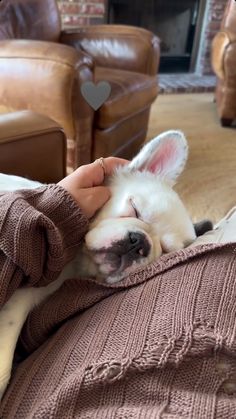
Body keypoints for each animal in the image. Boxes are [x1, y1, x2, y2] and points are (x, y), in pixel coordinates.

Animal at [0, 130, 195, 400]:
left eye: (165, 251)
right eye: (135, 209)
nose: (139, 243)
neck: (77, 260)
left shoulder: (29, 293)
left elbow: (7, 342)